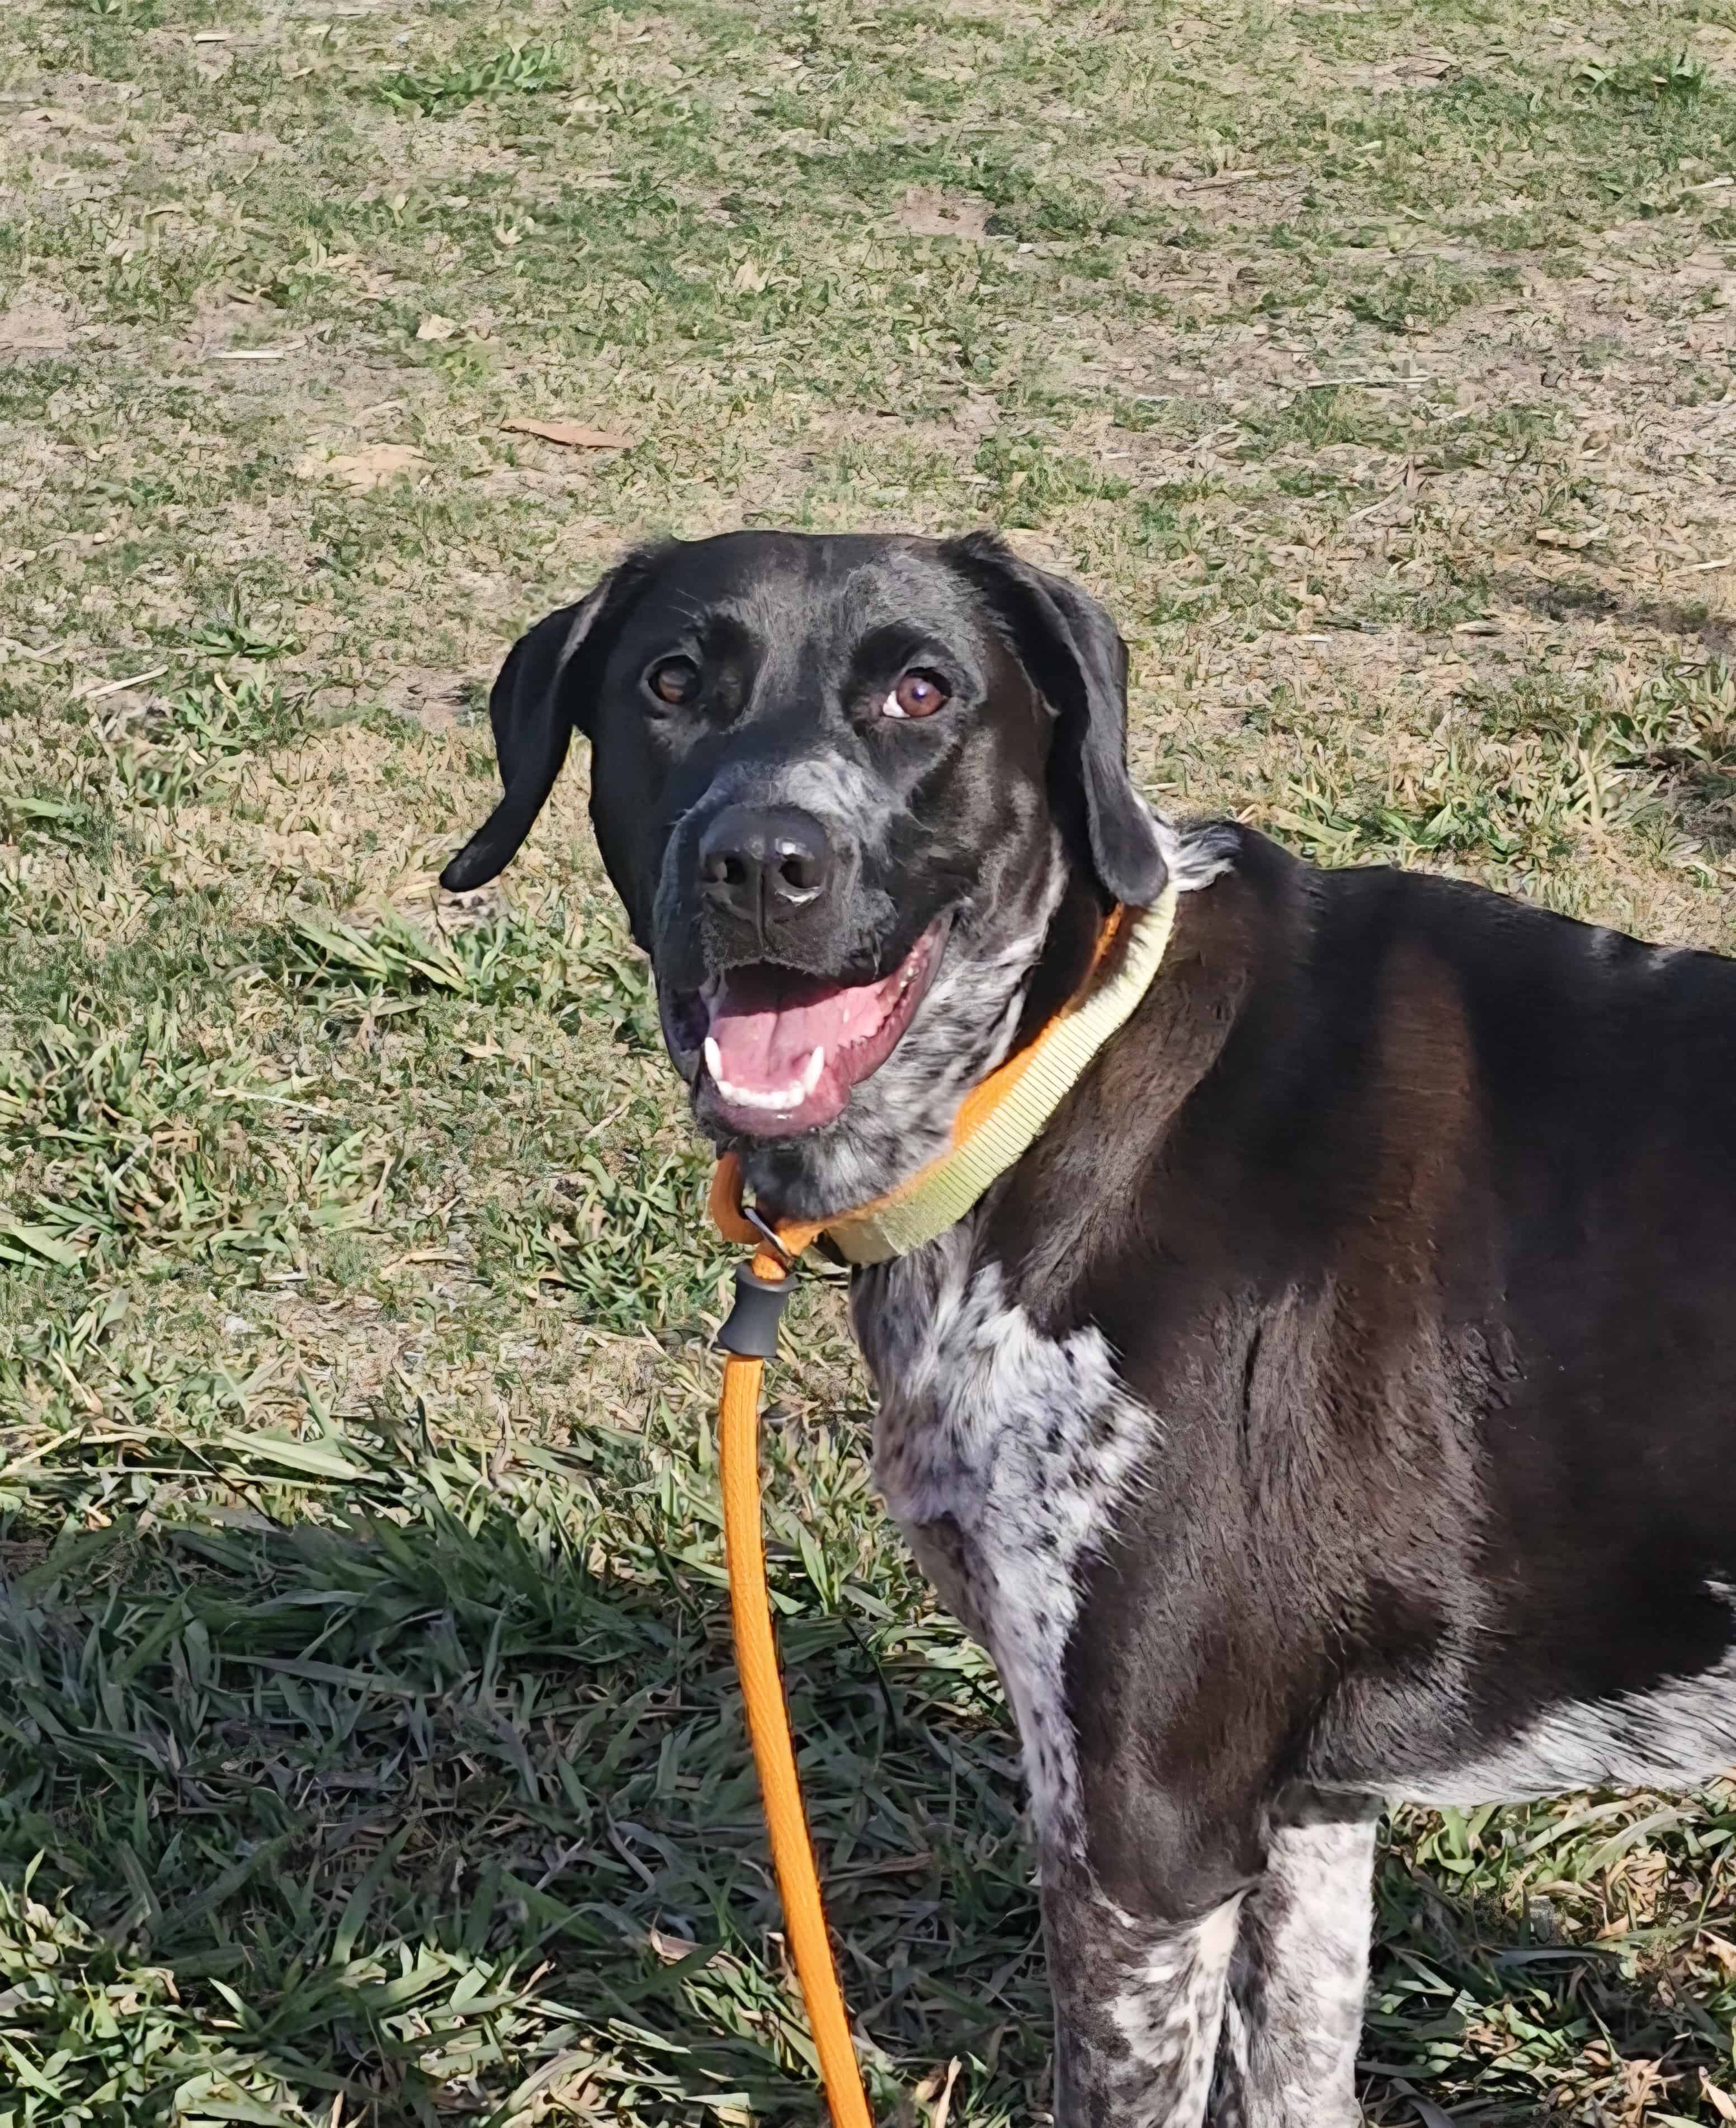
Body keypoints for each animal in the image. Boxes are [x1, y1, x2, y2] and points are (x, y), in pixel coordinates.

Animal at [443, 530, 1736, 2127]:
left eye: (922, 691)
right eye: (672, 683)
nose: (760, 862)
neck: (1053, 1076)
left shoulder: (1143, 1837)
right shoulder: (1306, 1812)